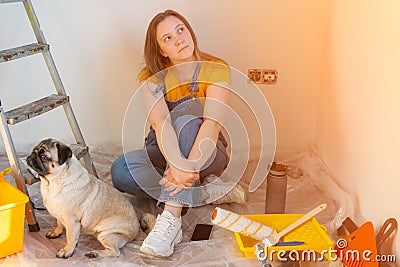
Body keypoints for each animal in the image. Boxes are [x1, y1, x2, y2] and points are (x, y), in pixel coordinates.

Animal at [26, 140, 155, 260]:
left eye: (43, 156)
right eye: (34, 150)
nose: (31, 156)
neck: (53, 183)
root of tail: (138, 231)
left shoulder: (72, 222)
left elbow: (70, 238)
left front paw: (67, 251)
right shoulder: (60, 214)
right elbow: (59, 224)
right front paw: (55, 232)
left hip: (106, 234)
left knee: (115, 252)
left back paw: (95, 253)